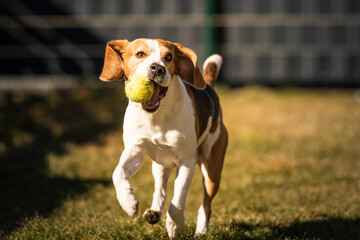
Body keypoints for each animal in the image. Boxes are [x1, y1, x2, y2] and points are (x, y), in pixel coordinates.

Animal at [100, 38, 226, 239]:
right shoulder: (134, 151)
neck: (156, 116)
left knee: (206, 204)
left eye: (169, 57)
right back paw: (154, 212)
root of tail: (209, 89)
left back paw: (201, 230)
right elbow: (117, 174)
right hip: (159, 165)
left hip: (212, 170)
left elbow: (178, 203)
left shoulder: (186, 163)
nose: (157, 68)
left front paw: (175, 226)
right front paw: (128, 202)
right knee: (160, 190)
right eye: (140, 54)